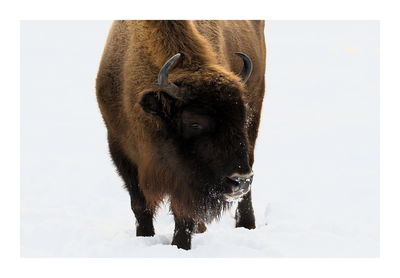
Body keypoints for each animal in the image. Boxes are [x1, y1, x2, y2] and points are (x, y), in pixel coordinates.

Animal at [96, 20, 266, 250]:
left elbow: (183, 213)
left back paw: (246, 225)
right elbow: (140, 205)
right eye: (194, 123)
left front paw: (180, 246)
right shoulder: (122, 151)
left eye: (241, 116)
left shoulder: (185, 181)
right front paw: (145, 237)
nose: (240, 180)